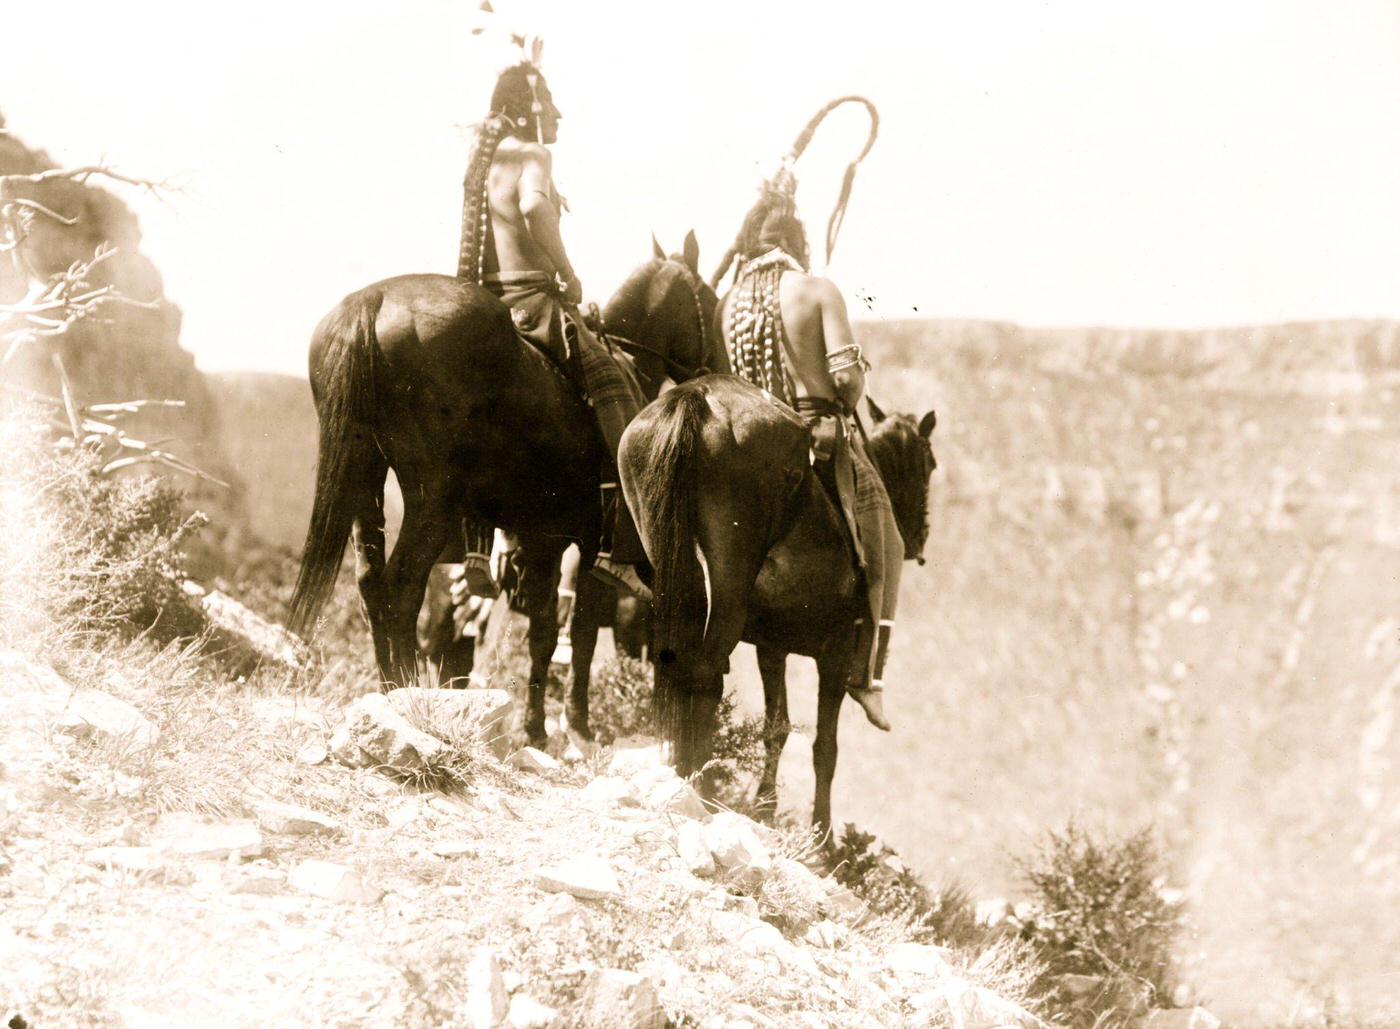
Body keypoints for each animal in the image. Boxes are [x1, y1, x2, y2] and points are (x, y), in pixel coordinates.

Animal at [288, 239, 716, 739]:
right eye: (708, 298)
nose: (717, 366)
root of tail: (372, 300)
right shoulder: (591, 546)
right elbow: (580, 634)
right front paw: (575, 726)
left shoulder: (542, 540)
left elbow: (544, 633)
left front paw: (538, 726)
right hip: (432, 498)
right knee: (404, 585)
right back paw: (408, 690)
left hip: (366, 475)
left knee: (373, 582)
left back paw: (389, 687)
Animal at [618, 378, 935, 840]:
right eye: (930, 465)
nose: (919, 538)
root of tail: (699, 394)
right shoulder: (836, 655)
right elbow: (825, 747)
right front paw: (822, 836)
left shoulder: (772, 648)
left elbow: (777, 728)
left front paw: (765, 807)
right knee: (704, 675)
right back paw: (700, 787)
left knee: (680, 668)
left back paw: (682, 778)